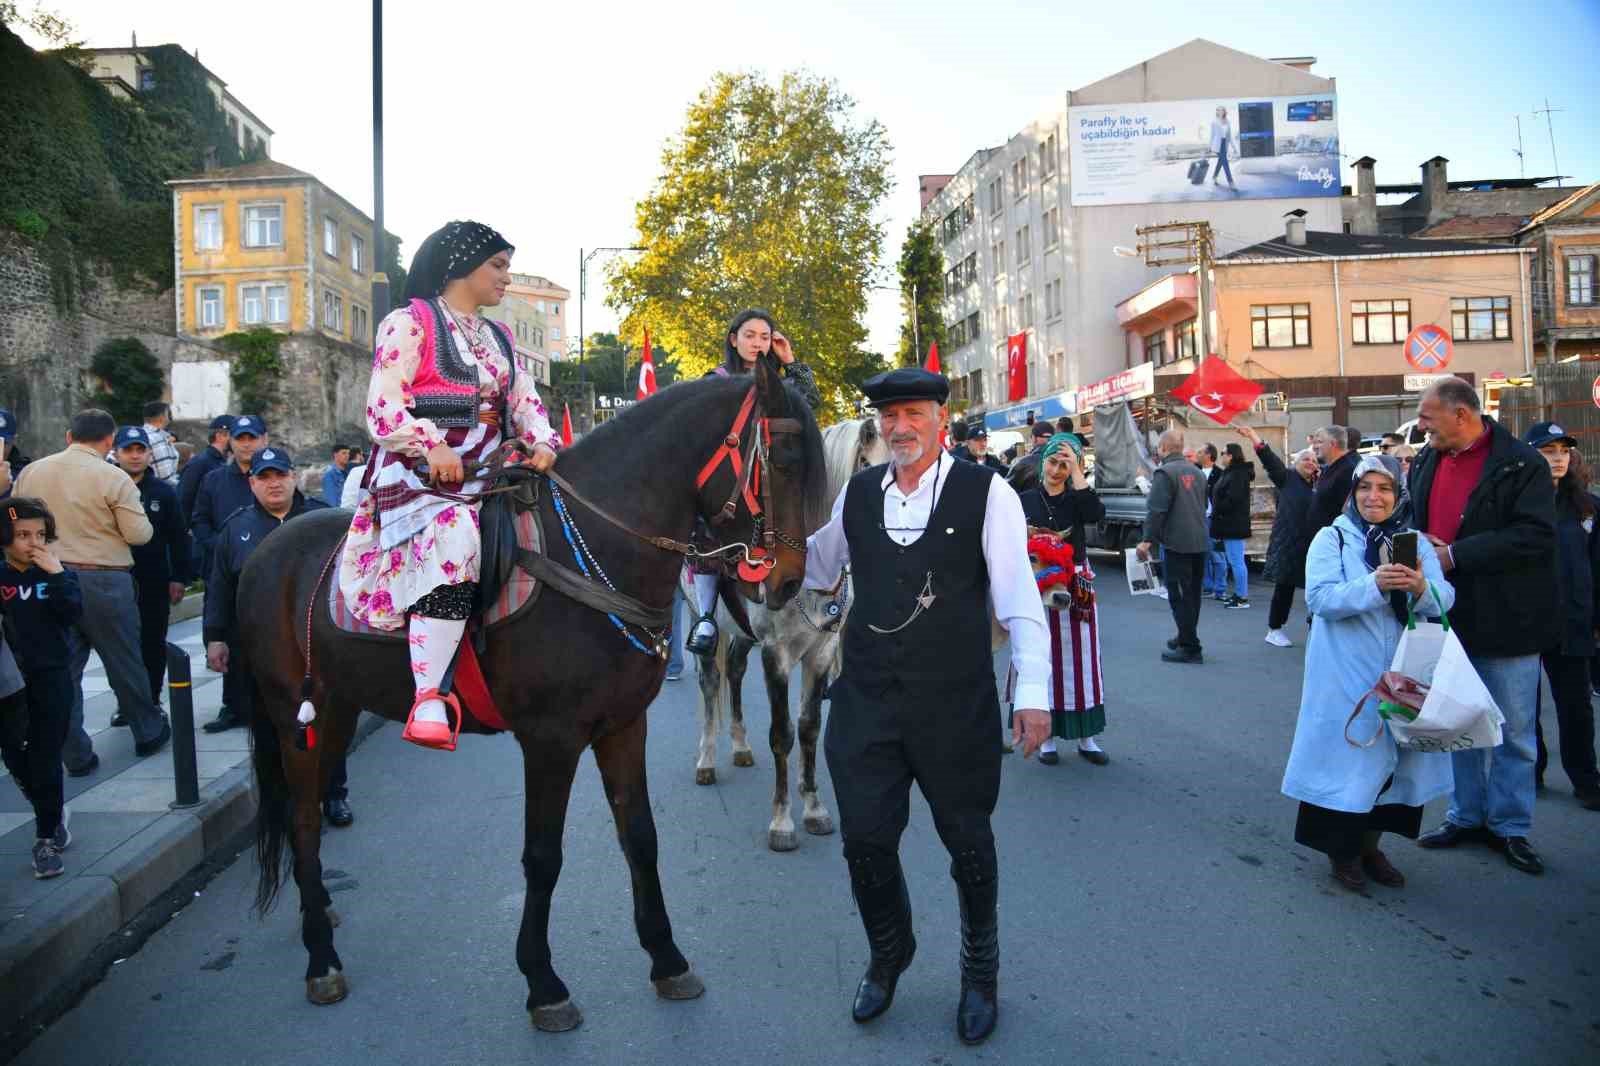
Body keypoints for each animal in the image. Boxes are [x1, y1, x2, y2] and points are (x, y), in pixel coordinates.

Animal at [236, 358, 825, 1030]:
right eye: (785, 460)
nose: (790, 582)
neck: (596, 551)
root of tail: (268, 549)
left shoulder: (623, 725)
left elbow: (641, 837)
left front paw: (667, 959)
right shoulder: (552, 739)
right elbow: (543, 856)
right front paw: (544, 983)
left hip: (334, 709)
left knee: (305, 812)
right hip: (294, 715)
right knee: (304, 821)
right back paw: (321, 957)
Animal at [694, 412, 896, 845]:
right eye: (867, 469)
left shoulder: (821, 651)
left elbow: (808, 728)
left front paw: (814, 808)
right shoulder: (777, 653)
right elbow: (782, 733)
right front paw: (782, 821)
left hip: (741, 634)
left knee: (735, 672)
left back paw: (740, 746)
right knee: (711, 682)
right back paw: (706, 760)